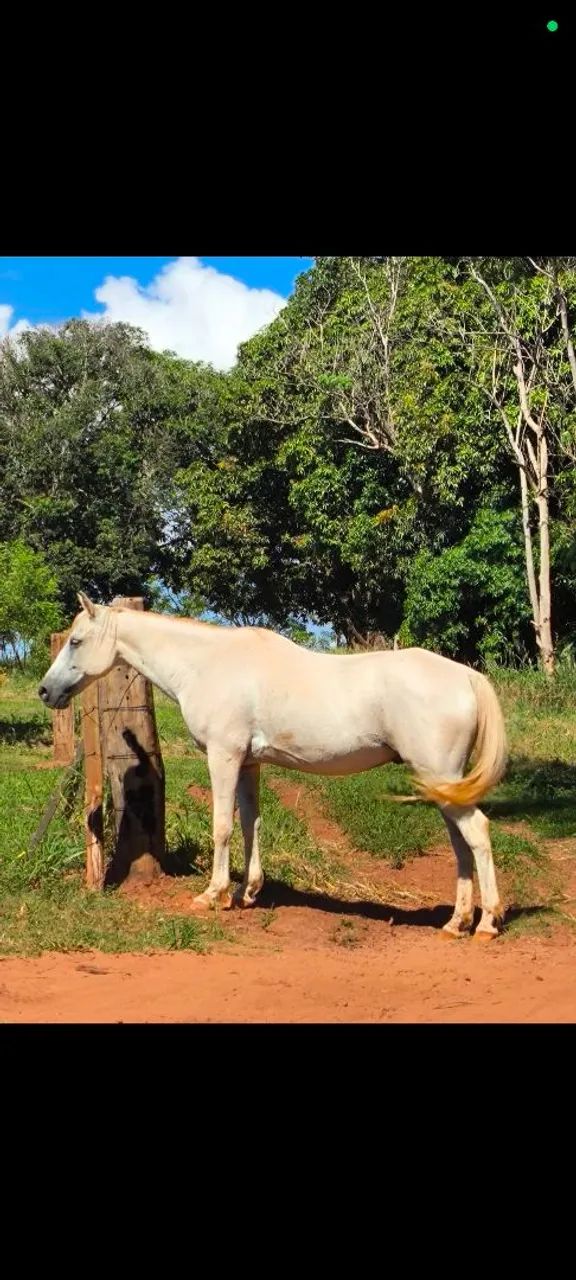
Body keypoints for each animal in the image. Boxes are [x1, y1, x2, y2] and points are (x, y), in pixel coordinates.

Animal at [38, 593, 508, 938]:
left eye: (76, 641)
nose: (45, 691)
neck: (206, 664)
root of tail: (466, 676)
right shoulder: (249, 763)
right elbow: (251, 823)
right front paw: (248, 892)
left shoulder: (224, 755)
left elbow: (223, 825)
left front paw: (213, 894)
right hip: (443, 786)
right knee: (460, 844)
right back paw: (457, 922)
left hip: (440, 778)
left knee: (478, 833)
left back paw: (486, 924)